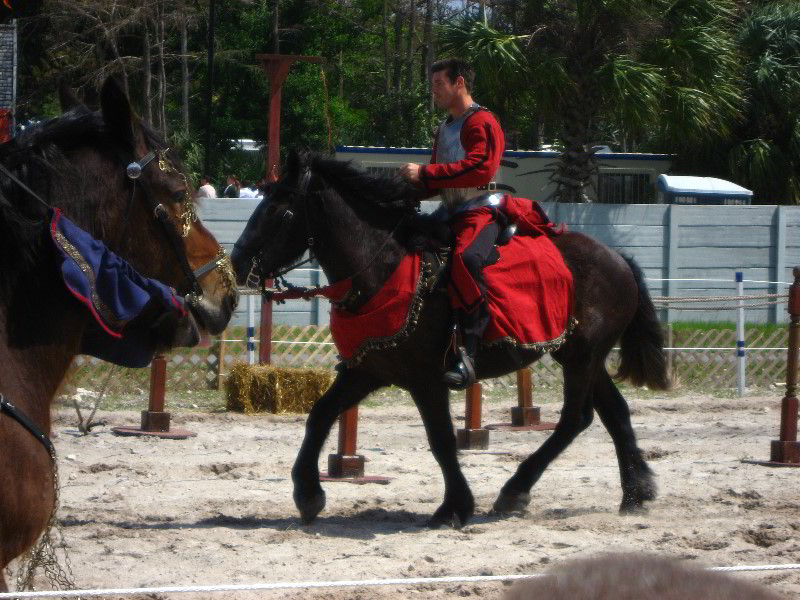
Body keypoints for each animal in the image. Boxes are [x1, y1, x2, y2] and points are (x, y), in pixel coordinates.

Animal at [231, 151, 668, 528]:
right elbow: (319, 415)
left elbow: (441, 439)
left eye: (277, 209)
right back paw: (635, 493)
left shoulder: (426, 380)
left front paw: (454, 506)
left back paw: (516, 489)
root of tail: (618, 259)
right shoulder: (366, 370)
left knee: (575, 419)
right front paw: (308, 493)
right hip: (581, 356)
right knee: (614, 412)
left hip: (581, 357)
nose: (237, 262)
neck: (385, 269)